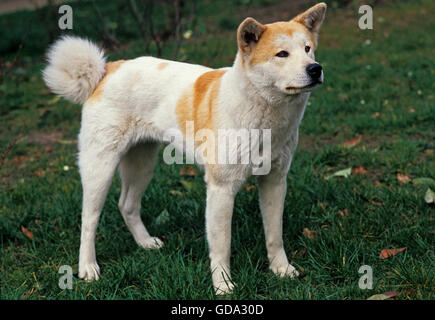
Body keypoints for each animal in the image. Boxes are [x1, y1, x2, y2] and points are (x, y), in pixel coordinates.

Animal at [43, 2, 328, 294]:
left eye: (308, 48)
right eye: (282, 54)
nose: (315, 69)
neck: (264, 116)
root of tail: (107, 70)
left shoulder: (275, 182)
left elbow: (274, 235)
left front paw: (282, 270)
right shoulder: (221, 189)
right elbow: (222, 246)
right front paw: (223, 285)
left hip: (142, 164)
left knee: (127, 205)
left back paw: (145, 243)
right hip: (100, 169)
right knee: (88, 221)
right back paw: (87, 268)